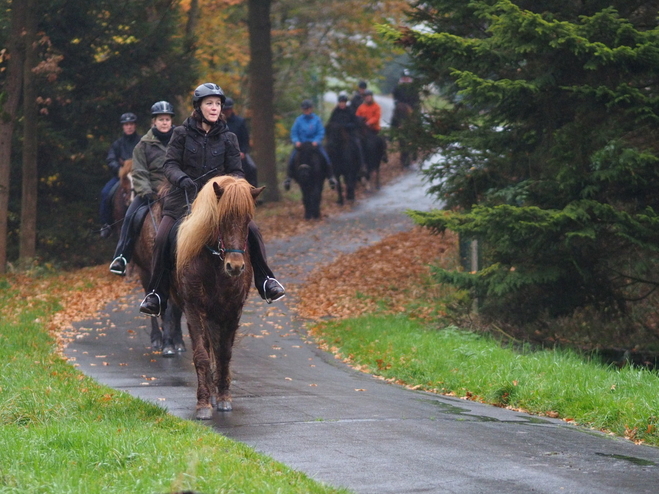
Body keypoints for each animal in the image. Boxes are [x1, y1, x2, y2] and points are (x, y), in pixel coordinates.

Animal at [174, 176, 264, 418]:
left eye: (248, 220)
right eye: (221, 218)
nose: (236, 266)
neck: (214, 263)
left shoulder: (232, 311)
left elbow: (224, 353)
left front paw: (223, 397)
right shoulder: (193, 308)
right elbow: (201, 355)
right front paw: (203, 404)